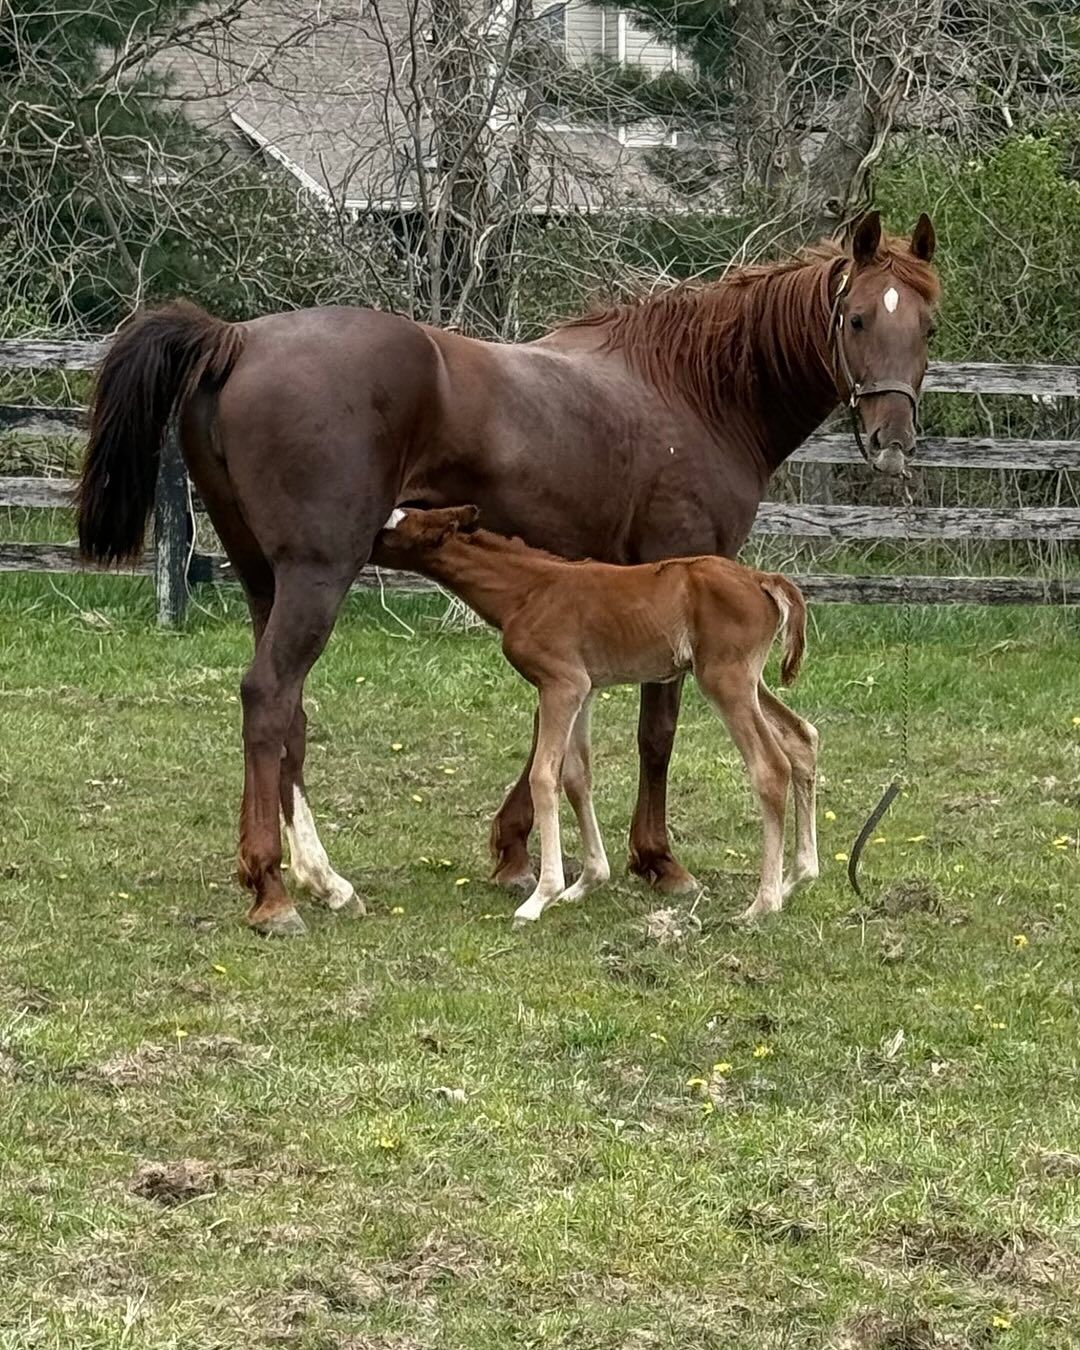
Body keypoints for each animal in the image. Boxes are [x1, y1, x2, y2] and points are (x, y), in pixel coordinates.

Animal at [373, 505, 816, 925]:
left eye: (391, 526)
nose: (363, 539)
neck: (526, 591)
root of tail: (762, 579)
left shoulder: (561, 685)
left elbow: (543, 775)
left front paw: (542, 896)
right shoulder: (584, 690)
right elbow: (576, 776)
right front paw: (587, 882)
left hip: (725, 681)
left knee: (770, 766)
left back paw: (763, 903)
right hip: (746, 681)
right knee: (801, 737)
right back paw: (798, 877)